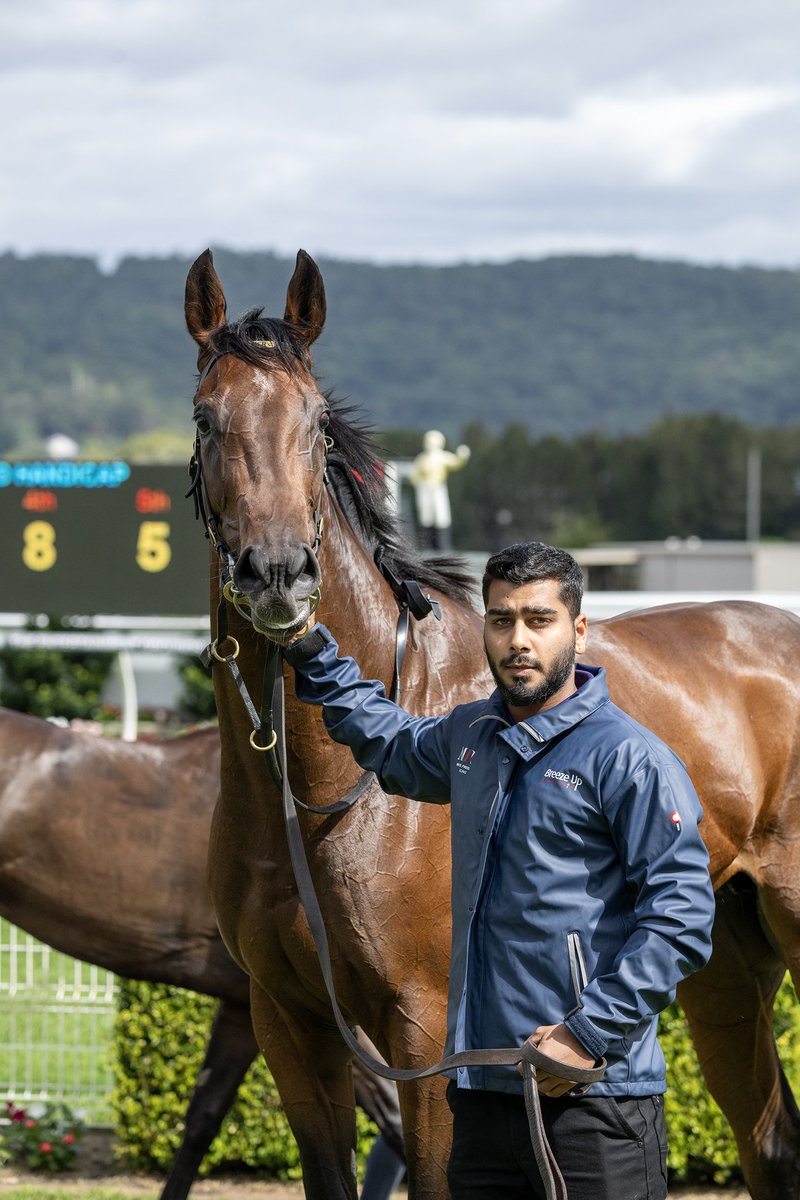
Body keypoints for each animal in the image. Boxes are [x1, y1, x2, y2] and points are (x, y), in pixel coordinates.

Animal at [183, 246, 800, 1200]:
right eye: (207, 418)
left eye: (316, 426)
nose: (278, 575)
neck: (328, 793)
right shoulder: (290, 1021)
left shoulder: (427, 1026)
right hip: (726, 966)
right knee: (770, 1141)